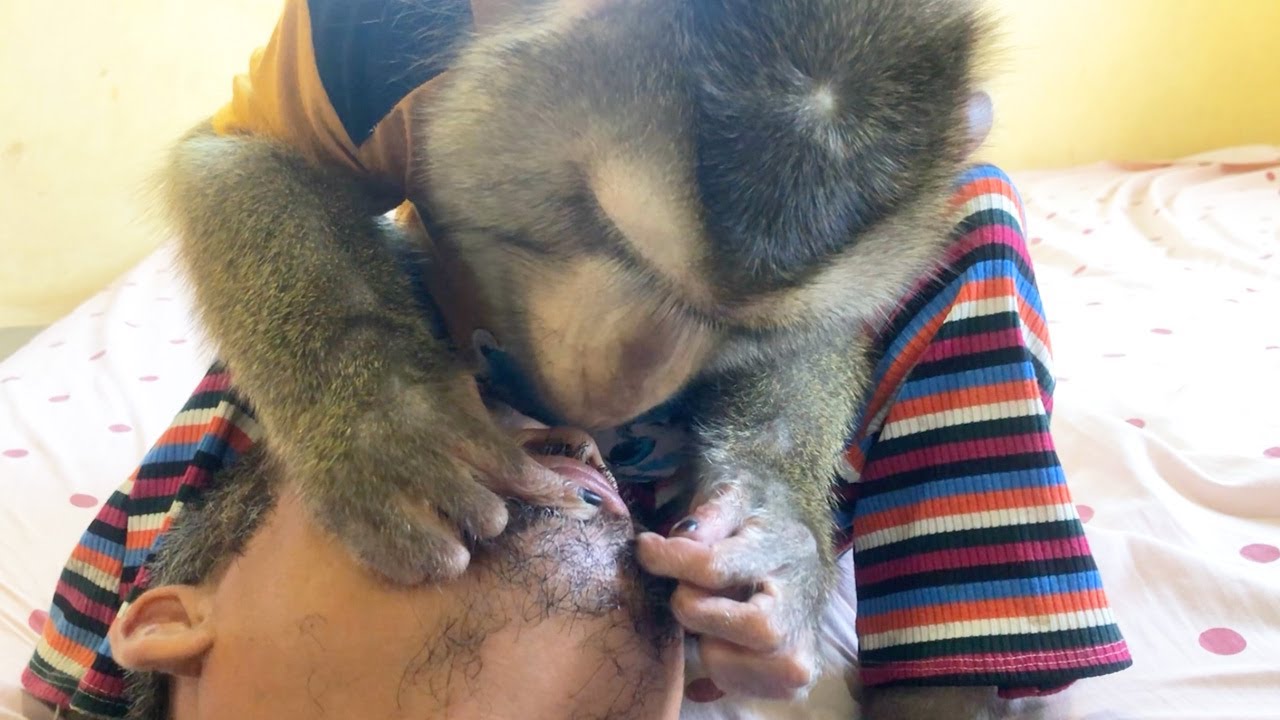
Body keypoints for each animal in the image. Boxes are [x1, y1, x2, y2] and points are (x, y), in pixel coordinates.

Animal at [157, 0, 1010, 715]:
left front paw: (775, 530)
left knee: (983, 204)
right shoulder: (354, 47)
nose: (629, 381)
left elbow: (825, 330)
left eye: (731, 324)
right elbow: (248, 154)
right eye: (612, 234)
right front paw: (381, 414)